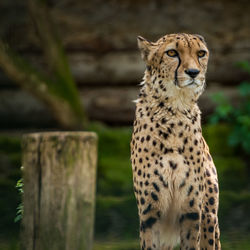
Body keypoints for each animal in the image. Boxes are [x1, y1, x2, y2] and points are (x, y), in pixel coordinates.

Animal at [131, 33, 221, 250]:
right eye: (172, 53)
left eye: (201, 53)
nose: (193, 72)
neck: (174, 112)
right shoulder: (150, 214)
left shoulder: (192, 213)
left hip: (210, 218)